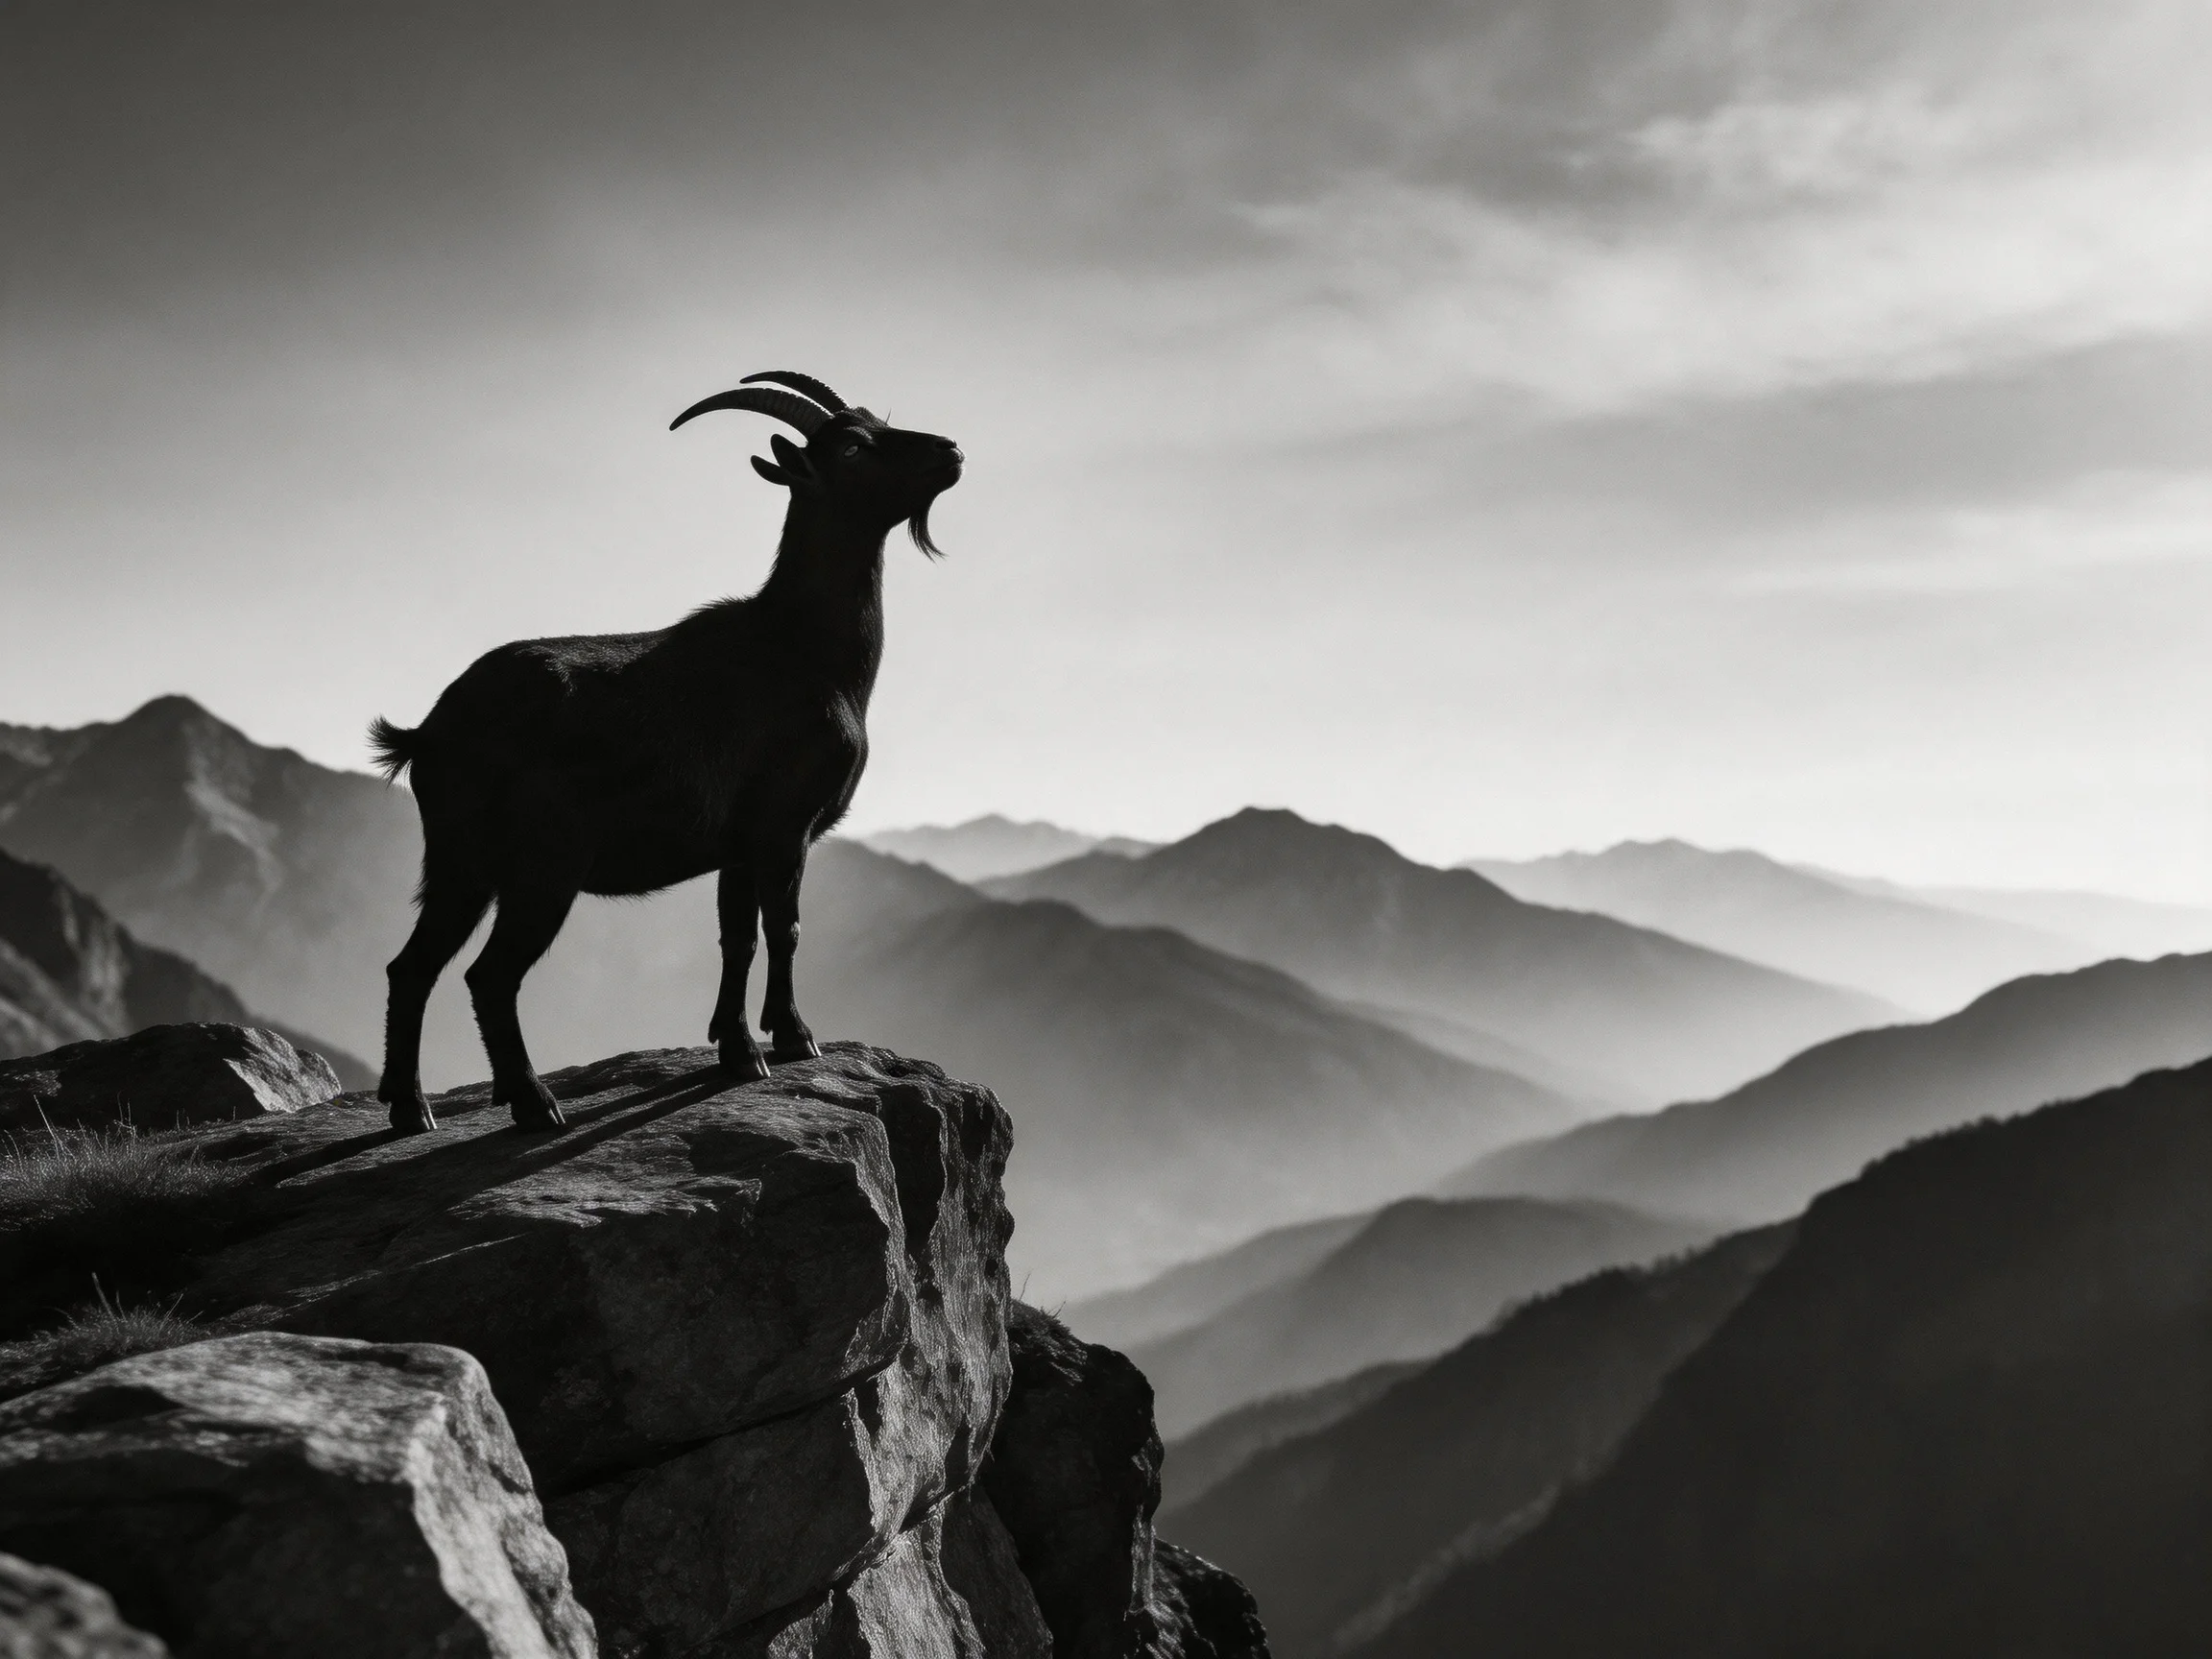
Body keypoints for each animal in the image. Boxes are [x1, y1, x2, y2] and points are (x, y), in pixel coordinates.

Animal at [367, 370, 962, 1132]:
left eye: (877, 423)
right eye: (854, 447)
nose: (950, 451)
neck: (802, 648)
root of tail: (431, 730)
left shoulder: (737, 844)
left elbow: (738, 937)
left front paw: (739, 1049)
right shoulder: (783, 824)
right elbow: (786, 927)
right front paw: (795, 1038)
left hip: (460, 862)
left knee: (412, 967)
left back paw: (410, 1108)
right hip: (543, 866)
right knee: (488, 975)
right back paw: (533, 1103)